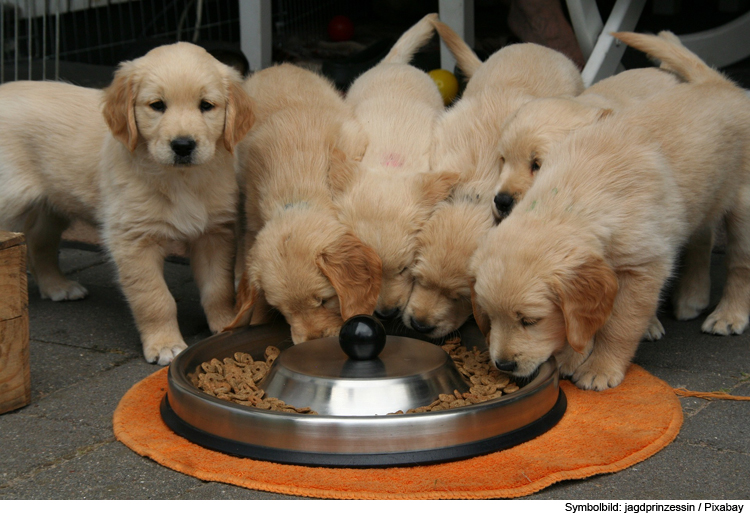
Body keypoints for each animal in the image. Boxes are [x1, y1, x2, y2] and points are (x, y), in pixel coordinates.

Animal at [0, 42, 256, 364]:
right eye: (157, 105)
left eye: (206, 105)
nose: (183, 146)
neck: (180, 180)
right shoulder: (133, 240)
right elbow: (155, 298)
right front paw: (164, 344)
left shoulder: (214, 233)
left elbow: (217, 288)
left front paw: (226, 324)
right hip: (12, 200)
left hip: (52, 203)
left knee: (38, 240)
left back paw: (57, 286)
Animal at [228, 64, 382, 344]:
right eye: (281, 310)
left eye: (324, 300)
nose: (313, 340)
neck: (297, 194)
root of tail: (277, 66)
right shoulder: (253, 215)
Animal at [472, 31, 750, 390]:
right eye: (490, 317)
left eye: (530, 321)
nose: (503, 364)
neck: (574, 196)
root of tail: (719, 83)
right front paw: (573, 355)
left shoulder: (644, 267)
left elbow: (619, 324)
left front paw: (600, 367)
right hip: (702, 197)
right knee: (702, 236)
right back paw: (692, 296)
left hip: (743, 205)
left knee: (740, 264)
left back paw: (729, 315)